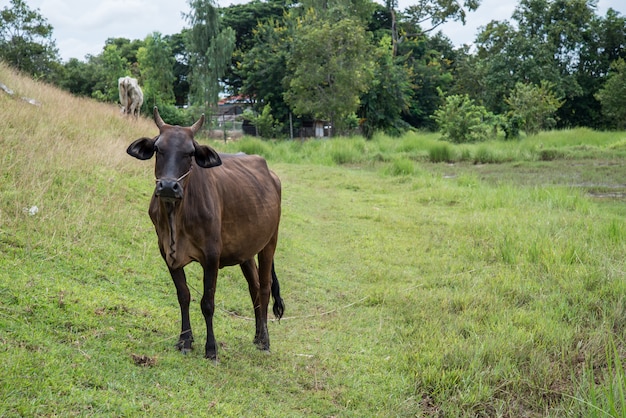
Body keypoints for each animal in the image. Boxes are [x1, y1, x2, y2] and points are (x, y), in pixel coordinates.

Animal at [127, 106, 282, 358]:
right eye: (158, 149)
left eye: (190, 153)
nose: (168, 186)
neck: (176, 216)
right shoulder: (167, 254)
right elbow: (183, 296)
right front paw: (185, 340)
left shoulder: (211, 256)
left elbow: (207, 303)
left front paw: (211, 349)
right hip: (246, 252)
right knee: (255, 288)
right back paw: (258, 336)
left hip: (269, 242)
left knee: (266, 288)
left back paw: (265, 342)